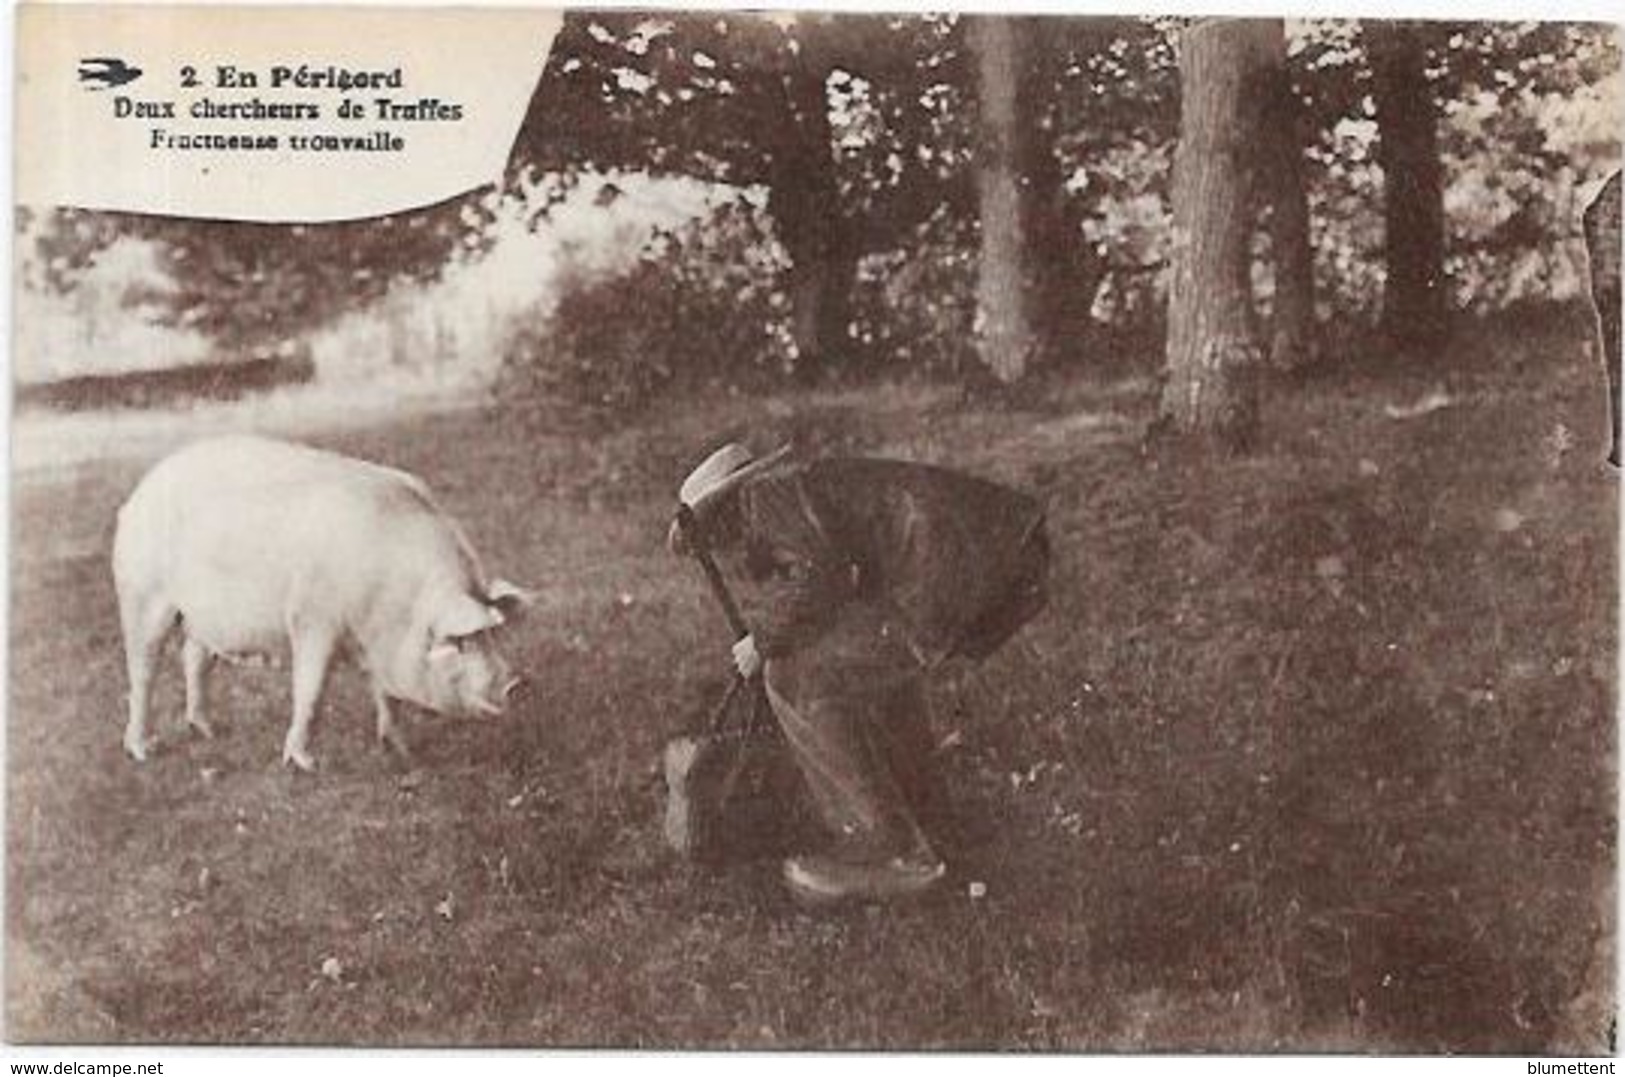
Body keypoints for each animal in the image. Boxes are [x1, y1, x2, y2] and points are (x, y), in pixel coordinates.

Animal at [114, 435, 533, 769]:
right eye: (459, 642)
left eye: (493, 636)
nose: (515, 684)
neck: (395, 609)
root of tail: (140, 491)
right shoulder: (313, 620)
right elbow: (311, 691)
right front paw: (306, 764)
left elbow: (385, 694)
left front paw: (402, 750)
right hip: (142, 594)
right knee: (142, 673)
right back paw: (143, 750)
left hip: (199, 616)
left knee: (194, 657)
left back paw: (208, 731)